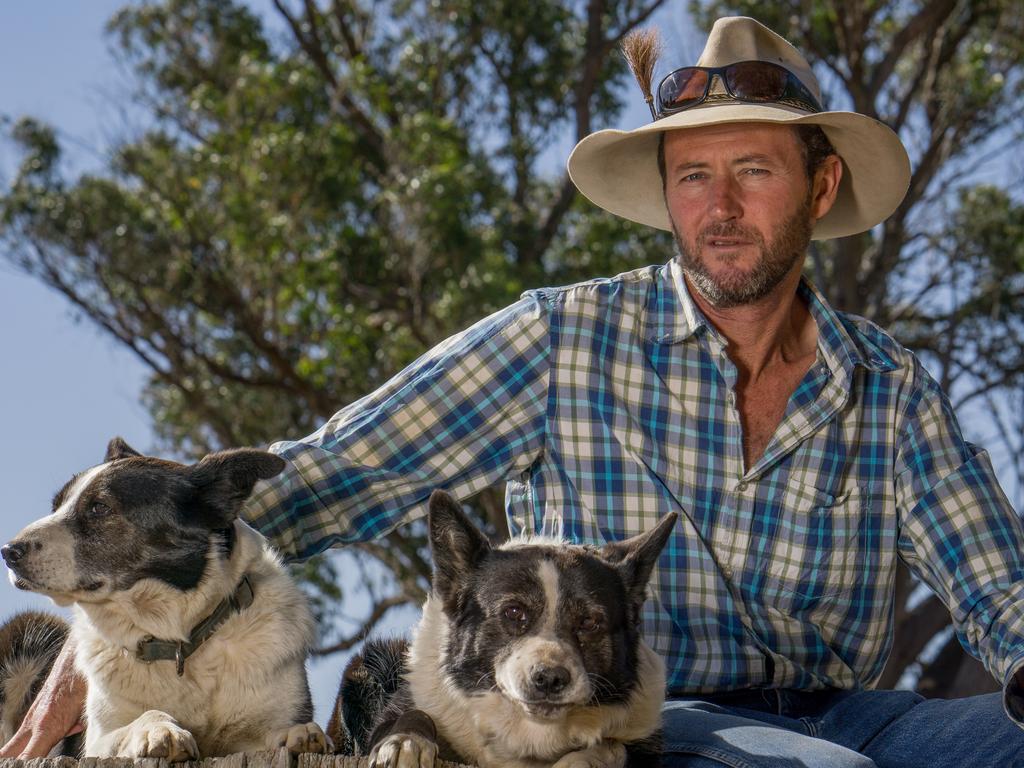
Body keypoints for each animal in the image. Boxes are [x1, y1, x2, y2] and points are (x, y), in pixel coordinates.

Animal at [1, 442, 327, 761]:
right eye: (56, 507)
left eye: (99, 507)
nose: (8, 551)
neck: (175, 639)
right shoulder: (95, 742)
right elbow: (140, 719)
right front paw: (159, 729)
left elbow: (273, 734)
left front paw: (295, 734)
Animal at [331, 493, 675, 768]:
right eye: (513, 612)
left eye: (589, 622)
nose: (550, 679)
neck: (529, 729)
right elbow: (414, 716)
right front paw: (405, 743)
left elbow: (613, 746)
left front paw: (583, 759)